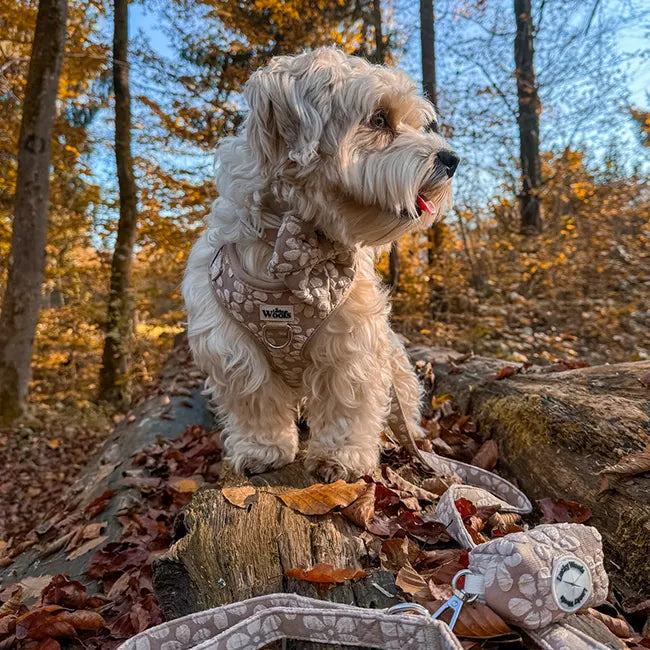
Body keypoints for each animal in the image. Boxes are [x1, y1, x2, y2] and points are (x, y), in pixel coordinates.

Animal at [182, 46, 456, 480]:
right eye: (380, 119)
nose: (452, 159)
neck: (292, 243)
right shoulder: (233, 349)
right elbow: (255, 402)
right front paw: (262, 449)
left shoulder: (353, 343)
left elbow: (347, 400)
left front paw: (340, 456)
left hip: (396, 362)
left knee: (403, 404)